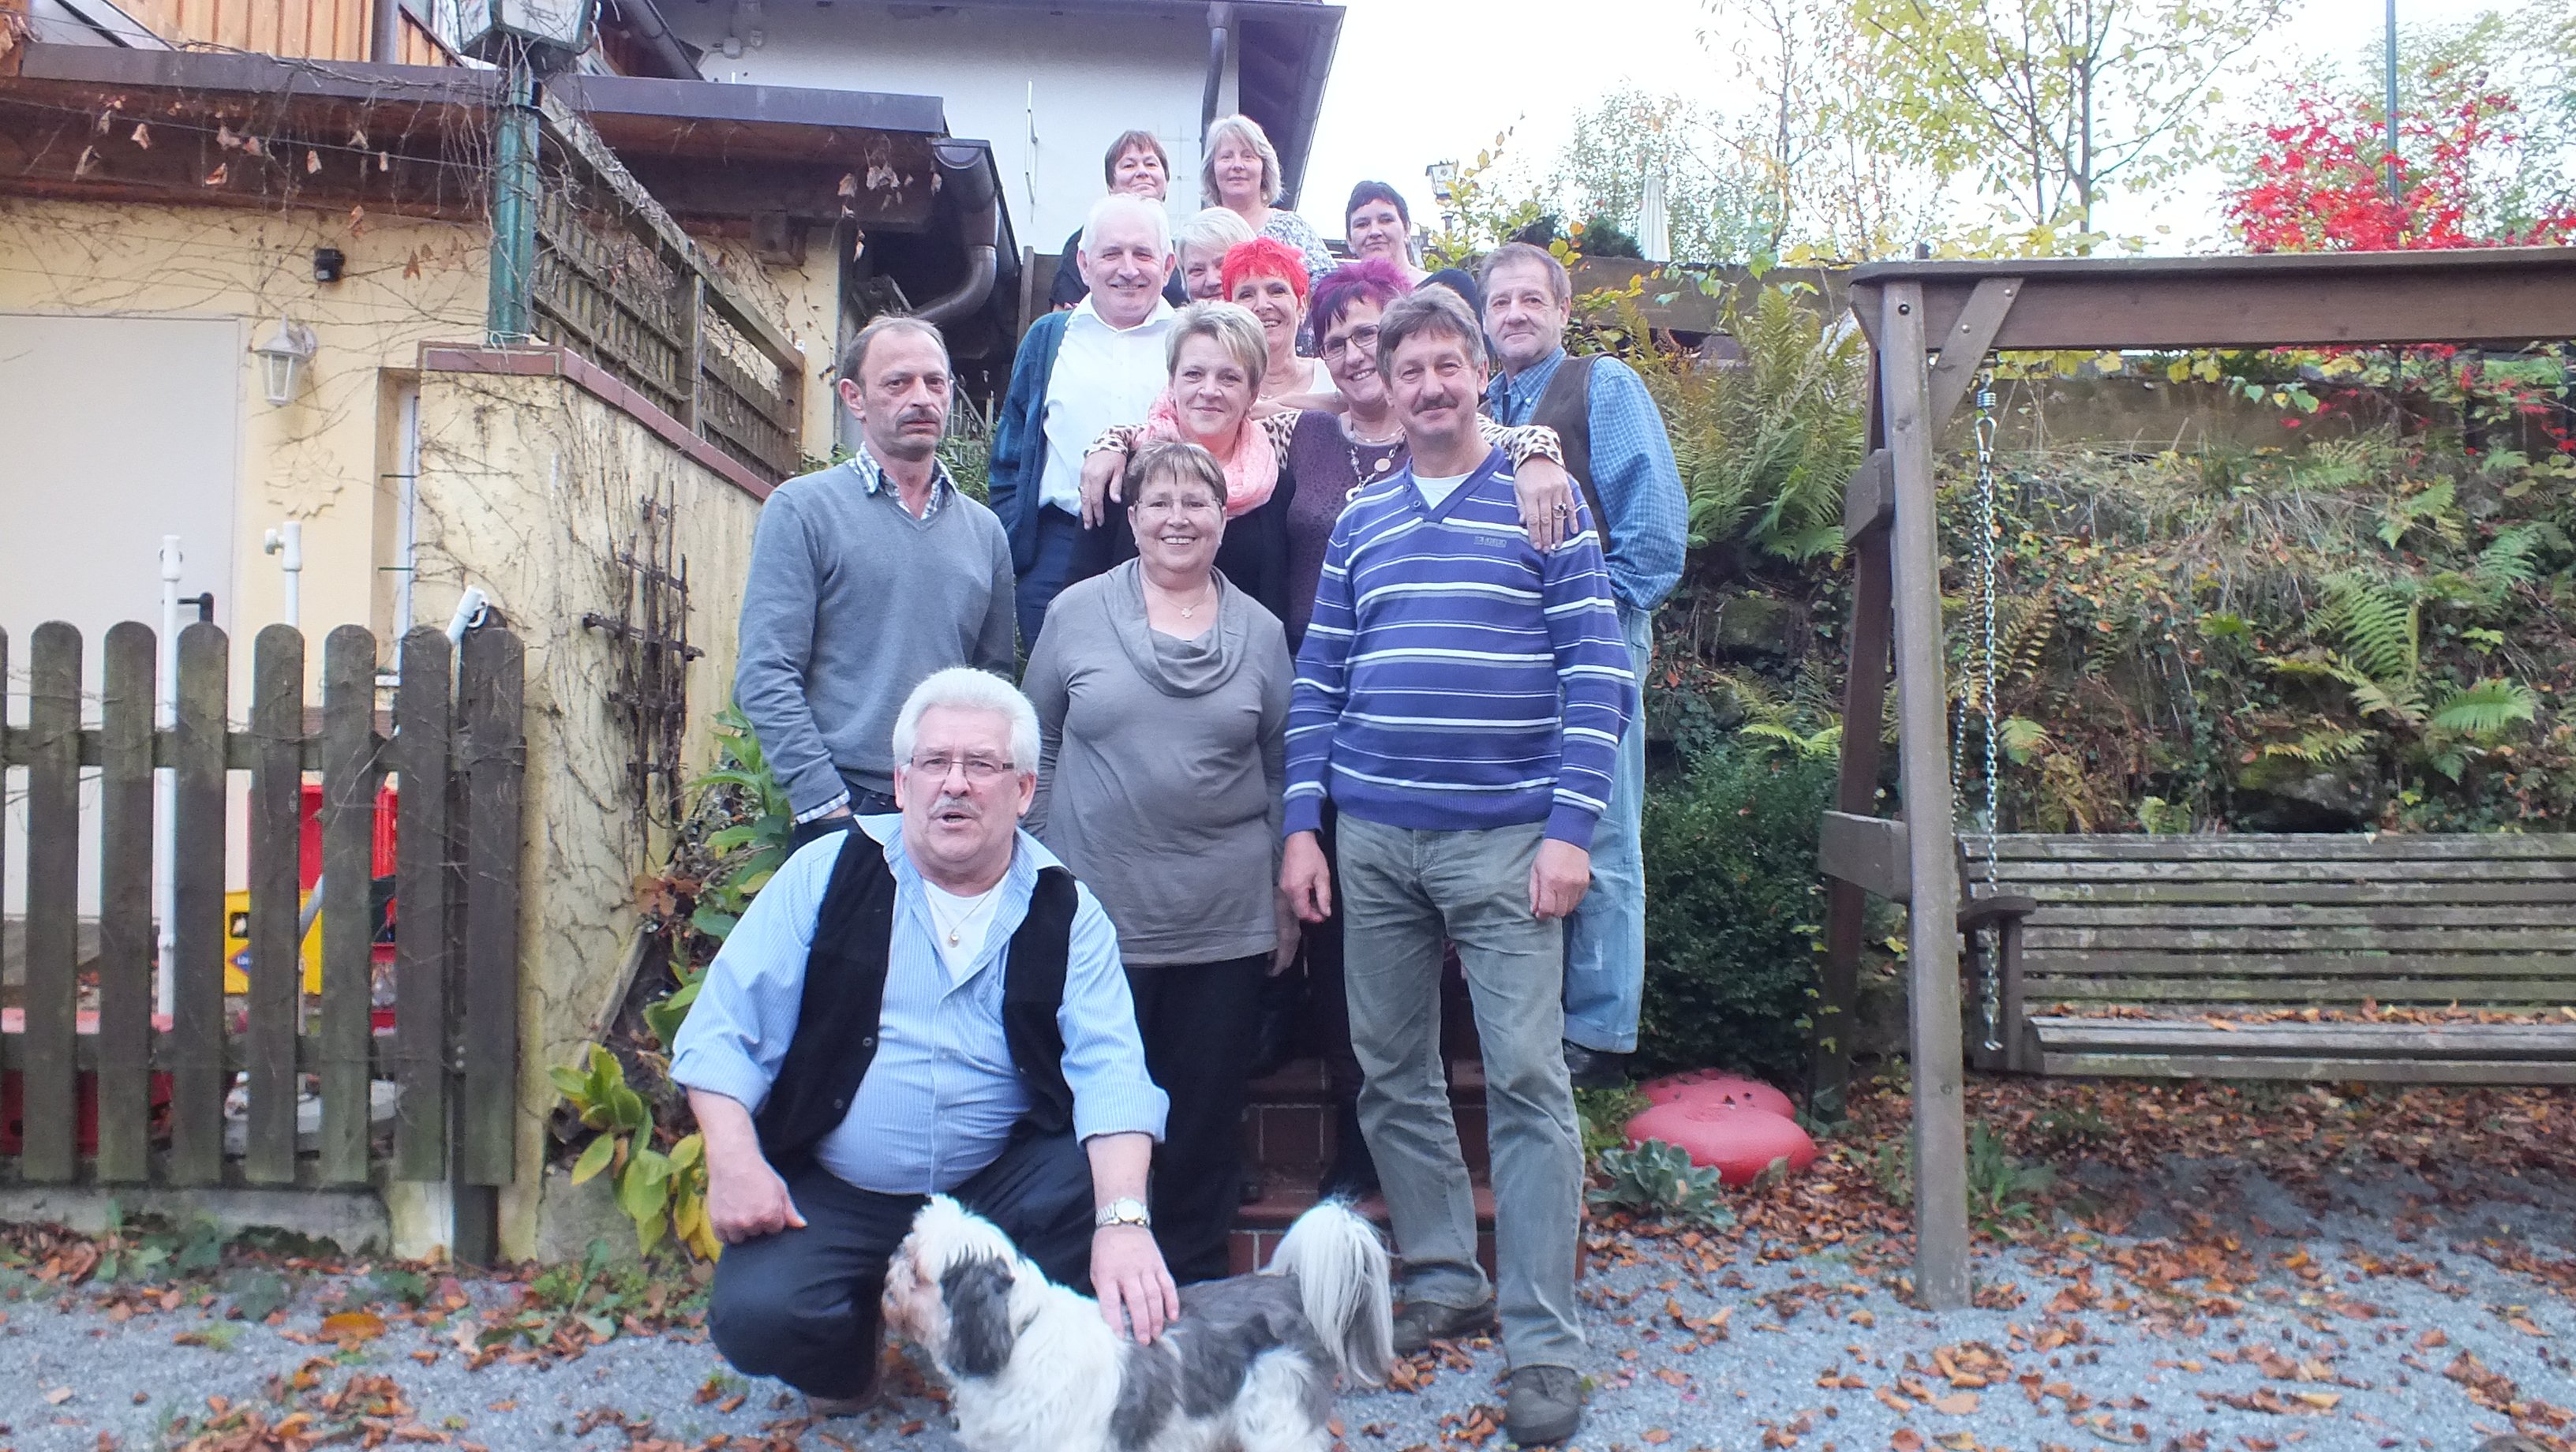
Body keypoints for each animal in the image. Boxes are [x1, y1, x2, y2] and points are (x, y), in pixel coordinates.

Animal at [881, 1195, 1394, 1452]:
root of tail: (1290, 1286)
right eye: (906, 1248)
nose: (891, 1269)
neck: (1018, 1337)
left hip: (1278, 1426)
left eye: (918, 1273)